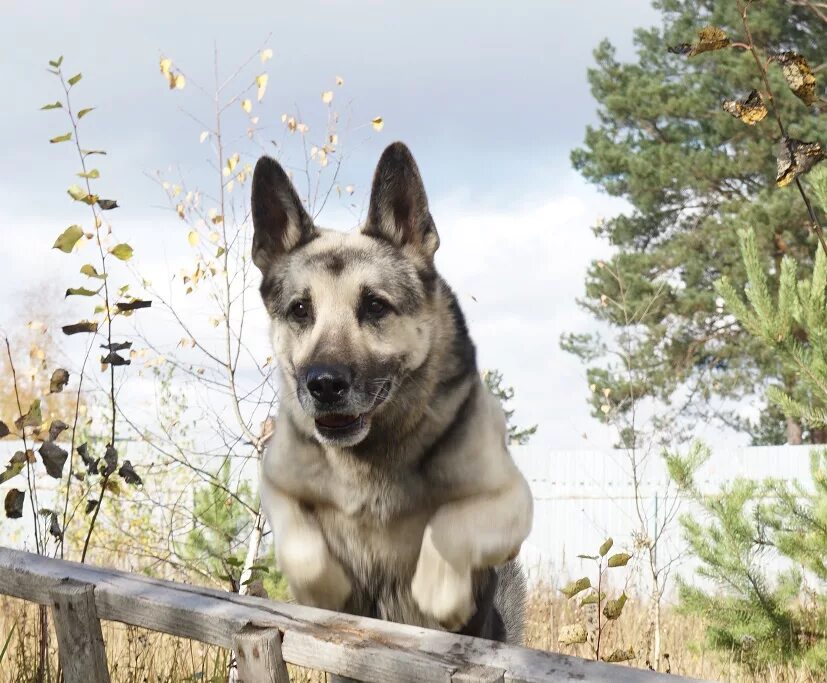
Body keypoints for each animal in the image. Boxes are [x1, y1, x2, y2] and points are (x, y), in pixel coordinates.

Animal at [252, 142, 532, 644]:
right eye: (300, 309)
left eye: (375, 305)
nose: (324, 385)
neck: (369, 458)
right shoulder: (278, 484)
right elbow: (303, 543)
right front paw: (326, 590)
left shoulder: (509, 499)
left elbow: (450, 523)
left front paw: (440, 593)